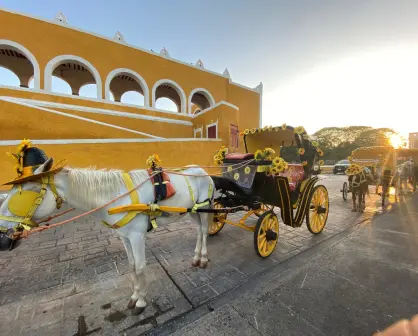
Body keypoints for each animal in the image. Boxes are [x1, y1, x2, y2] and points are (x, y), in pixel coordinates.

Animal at [0, 158, 214, 316]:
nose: (3, 237)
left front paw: (141, 301)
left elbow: (140, 267)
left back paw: (203, 258)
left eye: (25, 193)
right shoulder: (125, 237)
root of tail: (201, 170)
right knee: (198, 230)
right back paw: (196, 257)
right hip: (192, 210)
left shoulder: (137, 236)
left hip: (204, 208)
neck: (116, 196)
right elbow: (131, 266)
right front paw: (134, 297)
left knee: (204, 231)